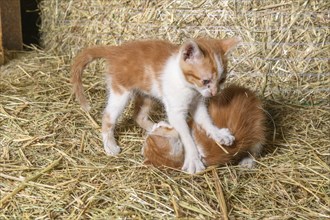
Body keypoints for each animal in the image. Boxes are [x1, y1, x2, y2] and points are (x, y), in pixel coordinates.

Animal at [70, 37, 240, 174]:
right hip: (121, 92)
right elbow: (186, 135)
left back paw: (157, 128)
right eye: (205, 81)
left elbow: (206, 121)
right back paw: (110, 145)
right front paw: (193, 158)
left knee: (138, 116)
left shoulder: (197, 103)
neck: (188, 86)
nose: (214, 93)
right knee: (108, 116)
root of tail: (116, 50)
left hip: (147, 94)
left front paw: (219, 134)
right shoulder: (176, 111)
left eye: (222, 80)